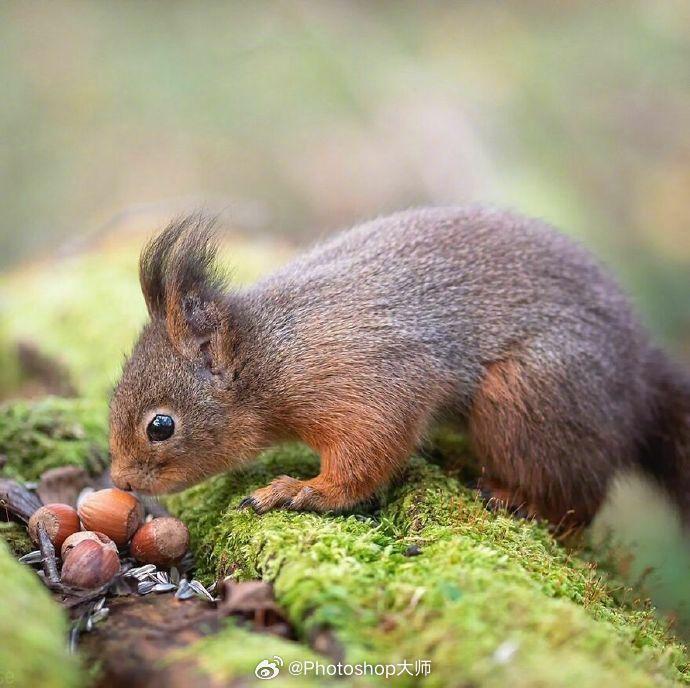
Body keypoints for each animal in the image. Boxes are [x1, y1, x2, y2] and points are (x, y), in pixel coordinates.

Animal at [107, 207, 688, 524]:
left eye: (161, 426)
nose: (121, 482)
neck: (270, 352)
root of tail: (641, 379)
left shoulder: (366, 375)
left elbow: (369, 451)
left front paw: (303, 491)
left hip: (529, 396)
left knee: (581, 500)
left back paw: (524, 502)